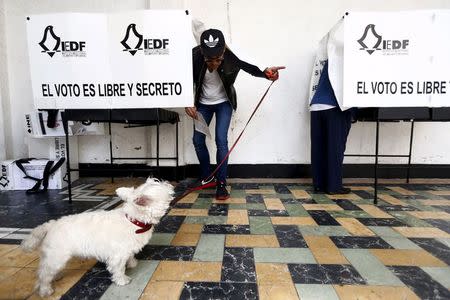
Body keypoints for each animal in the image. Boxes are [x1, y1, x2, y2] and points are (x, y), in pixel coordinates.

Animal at [20, 178, 174, 298]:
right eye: (158, 183)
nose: (169, 182)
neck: (134, 220)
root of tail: (50, 225)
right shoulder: (117, 256)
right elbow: (118, 269)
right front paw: (122, 280)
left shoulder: (127, 249)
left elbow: (130, 256)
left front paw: (132, 263)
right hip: (56, 257)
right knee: (43, 274)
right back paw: (45, 290)